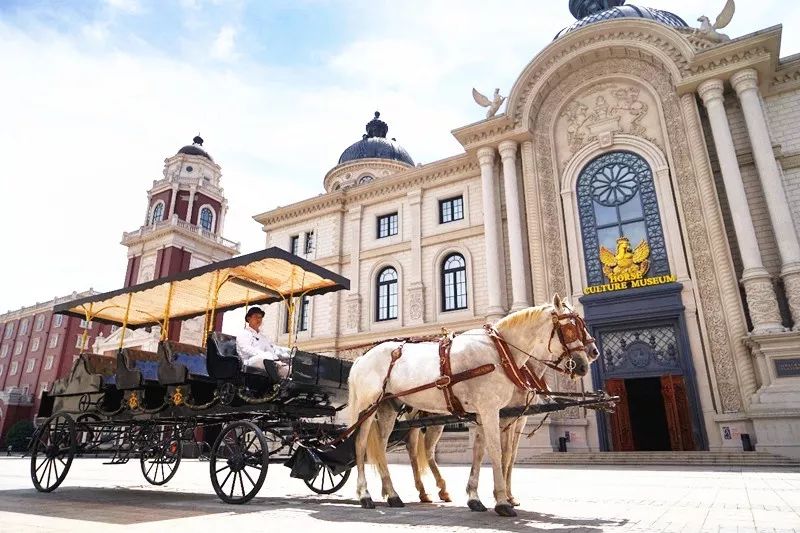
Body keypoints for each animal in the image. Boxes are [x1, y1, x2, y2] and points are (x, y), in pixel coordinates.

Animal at [346, 296, 592, 516]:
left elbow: (482, 452)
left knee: (383, 445)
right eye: (571, 329)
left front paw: (475, 497)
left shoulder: (490, 414)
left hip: (389, 408)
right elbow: (497, 452)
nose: (585, 363)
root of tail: (361, 358)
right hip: (368, 408)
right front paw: (502, 501)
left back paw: (394, 494)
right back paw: (365, 495)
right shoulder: (492, 410)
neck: (500, 353)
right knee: (360, 444)